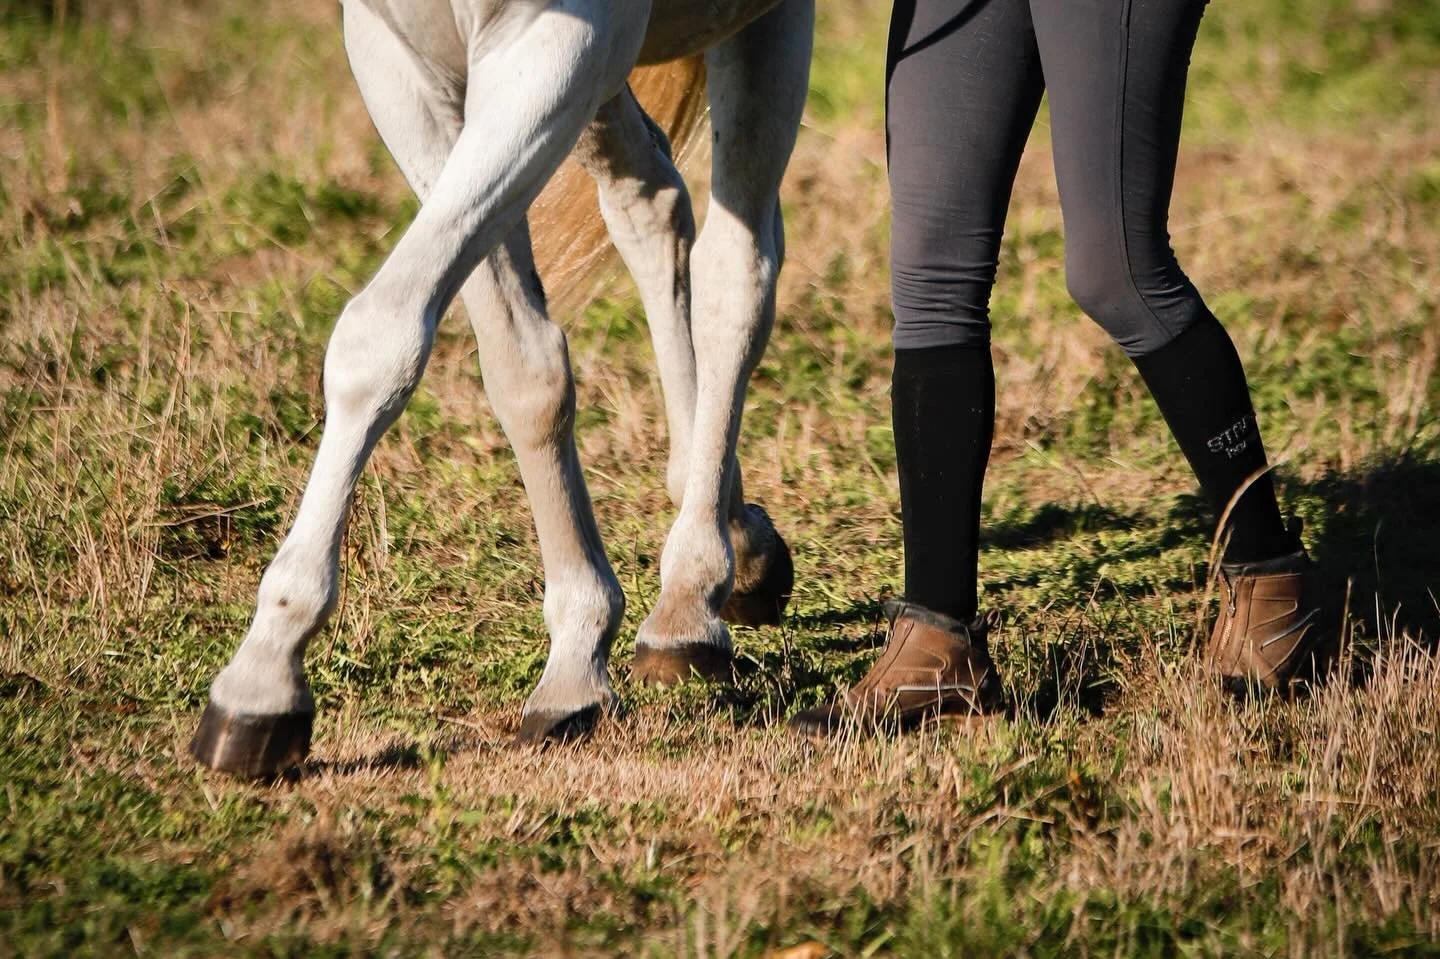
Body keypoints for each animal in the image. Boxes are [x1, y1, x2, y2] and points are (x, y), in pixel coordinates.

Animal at [188, 0, 814, 778]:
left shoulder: (556, 46)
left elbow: (381, 336)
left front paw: (263, 677)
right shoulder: (396, 54)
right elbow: (523, 366)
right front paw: (577, 655)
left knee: (737, 274)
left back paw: (690, 600)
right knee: (651, 198)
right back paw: (735, 541)